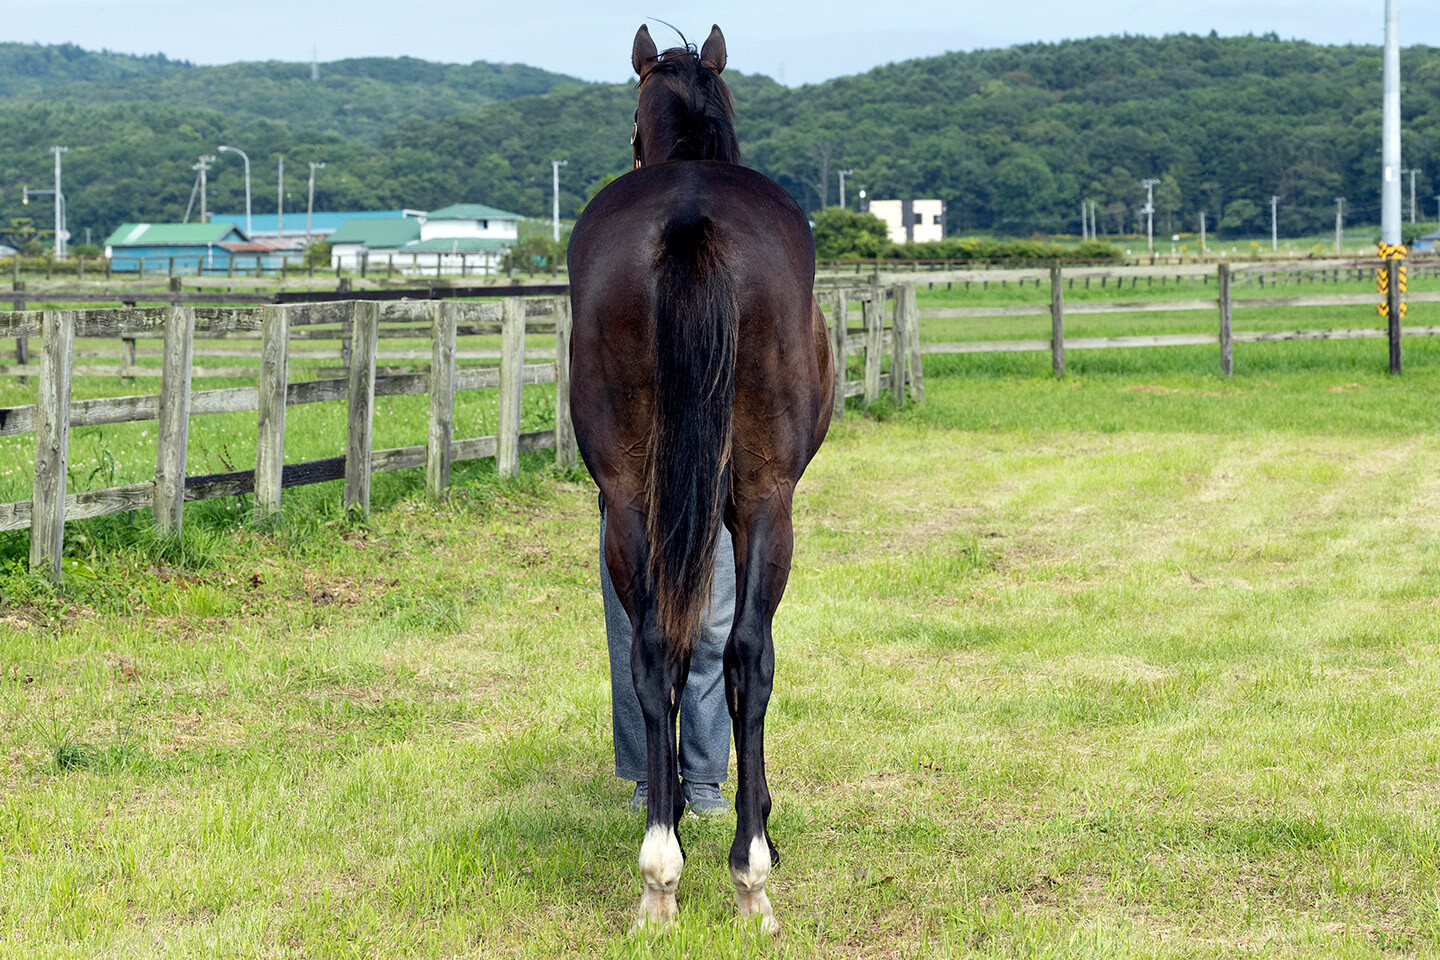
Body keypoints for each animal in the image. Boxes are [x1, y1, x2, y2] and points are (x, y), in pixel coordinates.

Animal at [567, 23, 833, 933]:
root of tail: (688, 218)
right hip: (766, 502)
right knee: (751, 655)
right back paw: (748, 871)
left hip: (628, 500)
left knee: (657, 650)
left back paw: (661, 869)